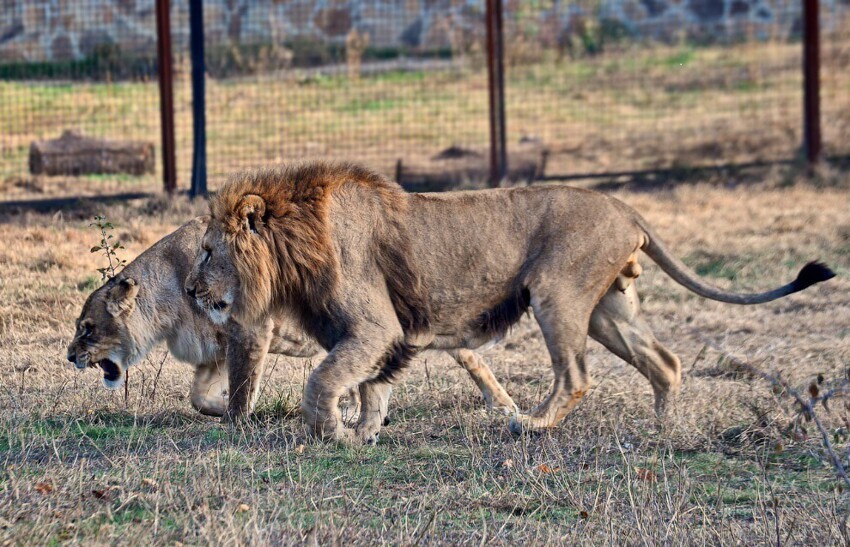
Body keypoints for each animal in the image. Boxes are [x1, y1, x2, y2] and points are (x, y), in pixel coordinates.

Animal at [66, 216, 512, 418]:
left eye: (87, 330)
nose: (70, 357)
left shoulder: (249, 329)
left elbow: (243, 385)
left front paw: (238, 419)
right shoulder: (215, 350)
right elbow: (199, 395)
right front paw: (223, 408)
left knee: (469, 355)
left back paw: (504, 405)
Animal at [182, 161, 832, 444]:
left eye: (209, 251)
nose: (188, 290)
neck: (296, 244)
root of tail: (627, 208)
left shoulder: (372, 325)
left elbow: (325, 381)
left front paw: (333, 433)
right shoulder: (384, 334)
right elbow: (371, 385)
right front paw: (365, 430)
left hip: (557, 294)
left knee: (575, 375)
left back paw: (531, 423)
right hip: (608, 308)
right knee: (665, 361)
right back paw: (663, 430)